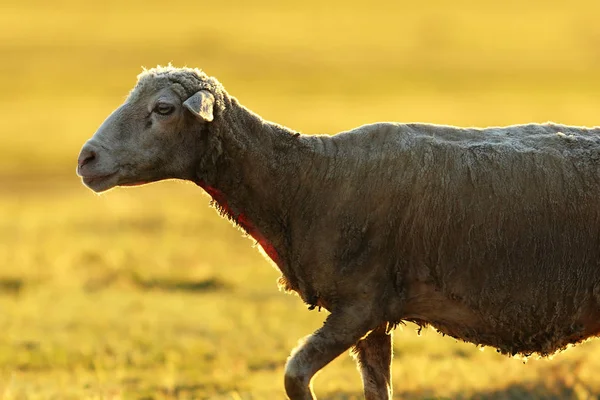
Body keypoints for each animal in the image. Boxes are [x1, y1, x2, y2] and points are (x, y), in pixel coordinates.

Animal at [76, 66, 600, 400]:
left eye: (163, 108)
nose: (87, 158)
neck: (304, 179)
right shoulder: (376, 316)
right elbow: (375, 389)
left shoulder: (359, 304)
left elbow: (293, 376)